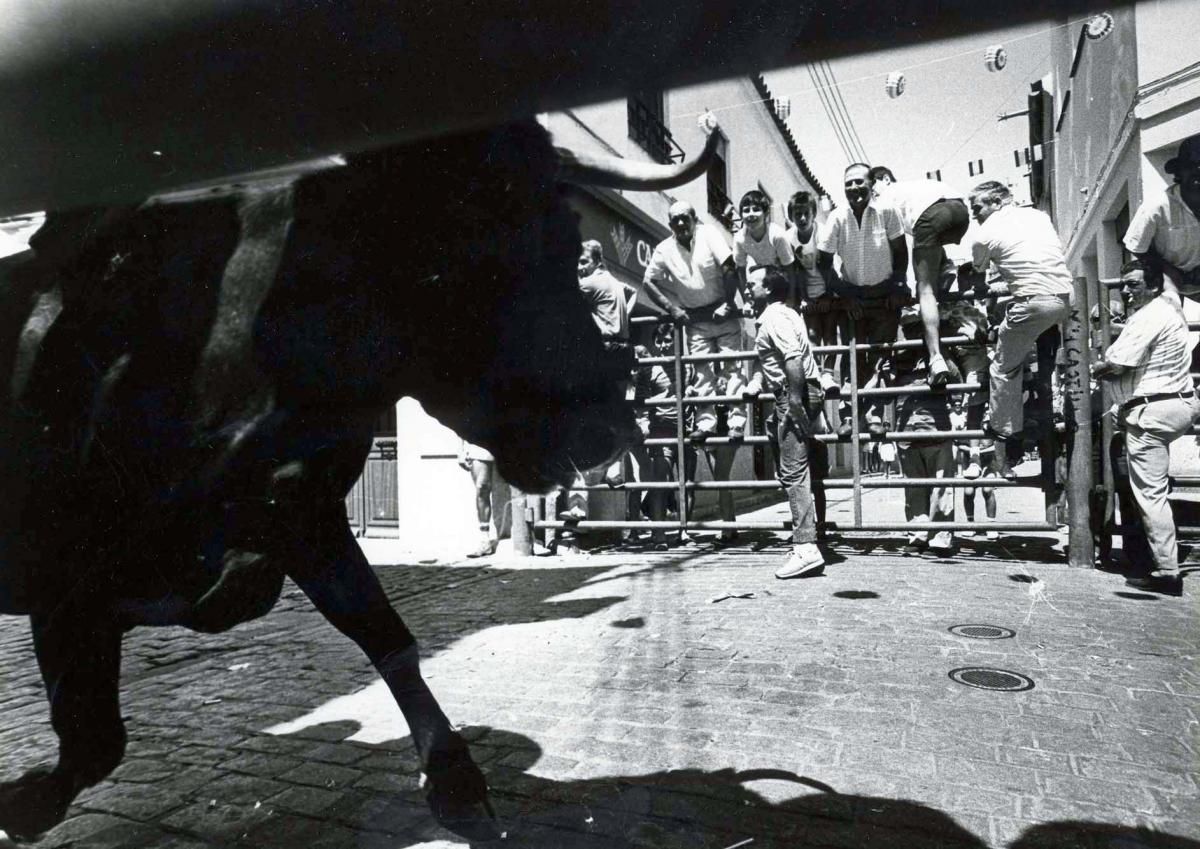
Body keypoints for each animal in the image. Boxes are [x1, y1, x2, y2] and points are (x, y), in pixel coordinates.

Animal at [0, 119, 700, 844]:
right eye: (453, 250)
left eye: (563, 234)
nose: (607, 424)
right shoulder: (64, 578)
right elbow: (92, 735)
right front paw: (23, 802)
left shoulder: (306, 516)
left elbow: (384, 633)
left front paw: (452, 773)